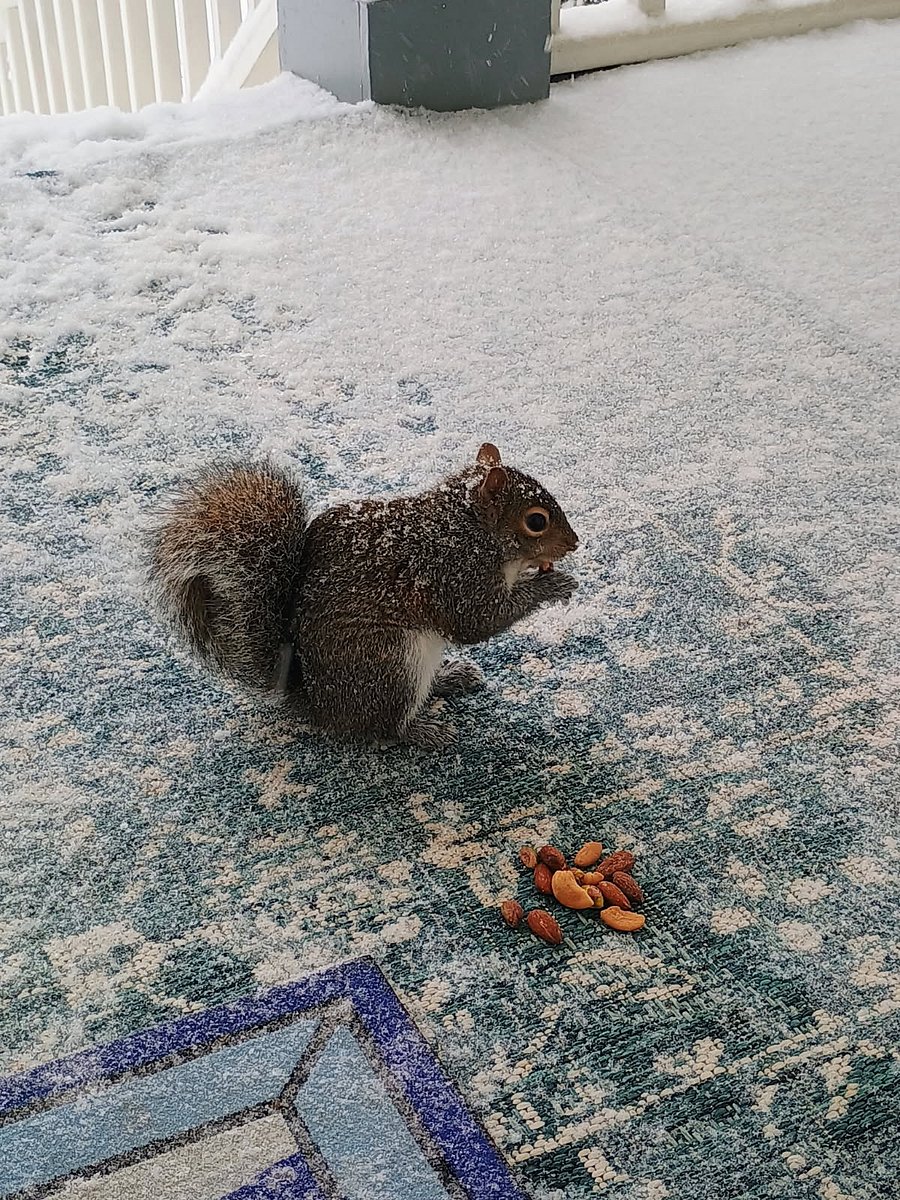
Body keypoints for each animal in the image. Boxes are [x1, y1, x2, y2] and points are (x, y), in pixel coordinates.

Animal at [147, 443, 579, 749]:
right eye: (536, 521)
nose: (574, 543)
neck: (469, 528)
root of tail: (321, 705)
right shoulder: (455, 574)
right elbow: (478, 621)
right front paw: (554, 585)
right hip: (389, 663)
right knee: (385, 725)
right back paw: (424, 731)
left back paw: (450, 676)